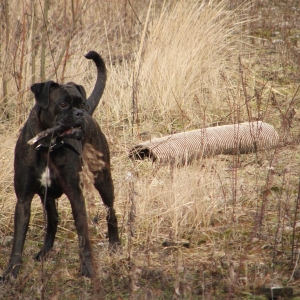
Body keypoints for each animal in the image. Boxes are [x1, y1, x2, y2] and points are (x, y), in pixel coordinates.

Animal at [1, 51, 120, 278]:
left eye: (80, 105)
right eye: (63, 104)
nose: (80, 113)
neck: (48, 146)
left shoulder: (76, 196)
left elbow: (83, 236)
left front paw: (87, 269)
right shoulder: (24, 200)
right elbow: (18, 240)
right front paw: (11, 271)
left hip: (103, 180)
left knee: (111, 211)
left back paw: (115, 243)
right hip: (47, 196)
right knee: (53, 220)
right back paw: (45, 252)